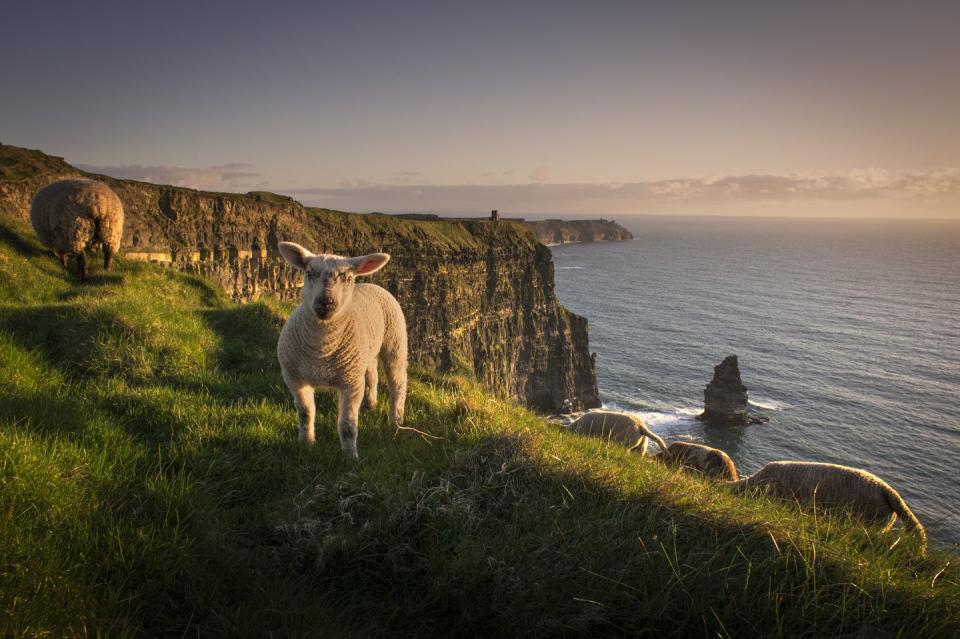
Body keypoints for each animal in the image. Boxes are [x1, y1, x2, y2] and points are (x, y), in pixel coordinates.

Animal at [276, 241, 406, 460]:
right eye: (309, 273)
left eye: (348, 278)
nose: (325, 302)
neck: (321, 350)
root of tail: (370, 284)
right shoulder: (295, 380)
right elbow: (305, 413)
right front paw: (306, 443)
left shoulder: (351, 384)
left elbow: (347, 426)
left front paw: (350, 458)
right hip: (364, 353)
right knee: (372, 374)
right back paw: (370, 404)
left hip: (395, 342)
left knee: (397, 383)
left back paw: (396, 421)